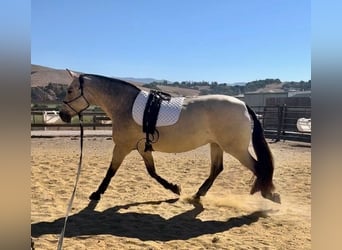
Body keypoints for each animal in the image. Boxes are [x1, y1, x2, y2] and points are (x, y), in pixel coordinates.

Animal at [58, 69, 280, 204]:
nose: (62, 115)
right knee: (217, 169)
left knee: (258, 167)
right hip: (216, 145)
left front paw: (97, 194)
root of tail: (243, 104)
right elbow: (152, 172)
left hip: (236, 148)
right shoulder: (142, 148)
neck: (125, 105)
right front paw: (174, 188)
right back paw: (198, 194)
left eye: (69, 90)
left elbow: (111, 171)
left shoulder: (122, 147)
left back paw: (269, 194)